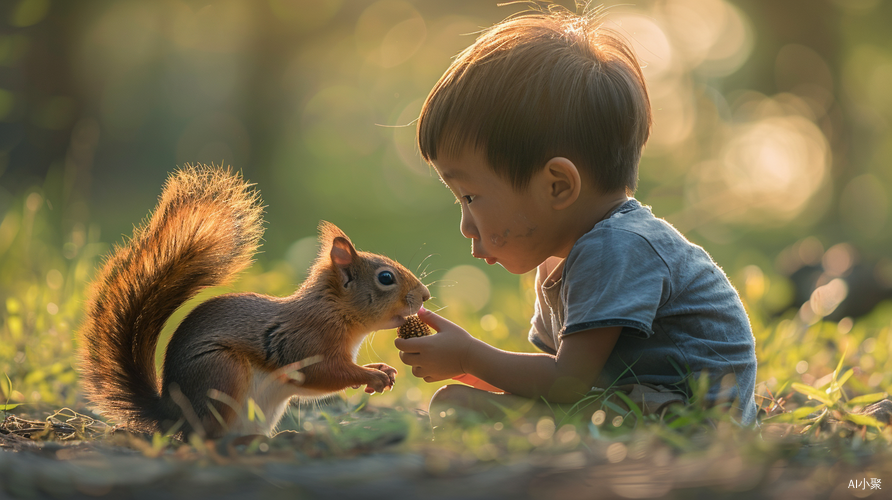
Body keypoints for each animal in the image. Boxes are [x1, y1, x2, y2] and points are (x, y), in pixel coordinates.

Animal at [75, 165, 430, 438]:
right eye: (386, 278)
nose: (425, 296)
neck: (334, 311)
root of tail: (171, 413)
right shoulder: (304, 343)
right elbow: (322, 375)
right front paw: (372, 375)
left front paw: (381, 369)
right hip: (221, 375)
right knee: (202, 436)